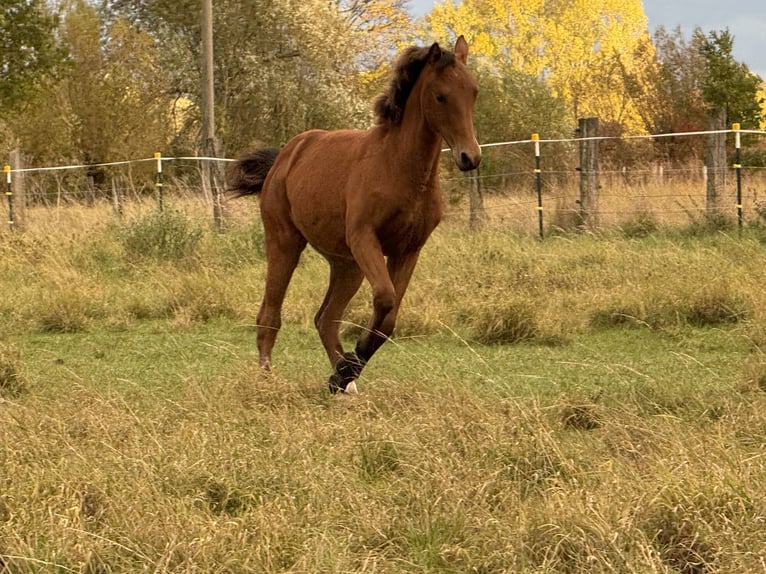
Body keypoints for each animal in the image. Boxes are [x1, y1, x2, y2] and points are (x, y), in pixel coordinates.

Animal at [227, 35, 480, 394]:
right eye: (440, 96)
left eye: (473, 92)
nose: (470, 157)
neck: (399, 166)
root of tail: (285, 157)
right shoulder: (365, 239)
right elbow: (385, 300)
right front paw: (347, 366)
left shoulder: (408, 251)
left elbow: (388, 319)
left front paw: (344, 372)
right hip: (285, 244)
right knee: (269, 317)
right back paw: (268, 383)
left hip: (347, 265)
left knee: (326, 318)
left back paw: (344, 384)